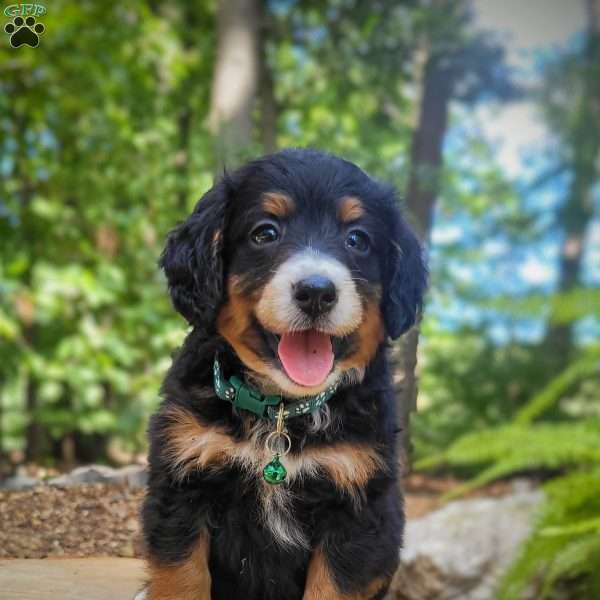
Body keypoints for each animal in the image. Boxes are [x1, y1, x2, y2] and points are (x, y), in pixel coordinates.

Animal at [139, 146, 426, 600]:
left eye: (357, 239)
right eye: (265, 233)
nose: (317, 292)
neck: (280, 409)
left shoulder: (356, 507)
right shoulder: (182, 482)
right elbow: (180, 578)